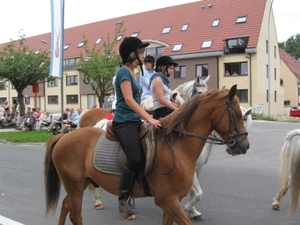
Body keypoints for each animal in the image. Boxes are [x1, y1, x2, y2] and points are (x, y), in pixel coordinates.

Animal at [44, 85, 250, 224]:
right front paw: (191, 210)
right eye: (238, 115)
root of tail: (63, 137)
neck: (176, 146)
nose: (244, 146)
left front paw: (194, 210)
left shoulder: (172, 201)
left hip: (79, 185)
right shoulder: (169, 201)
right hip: (74, 186)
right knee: (75, 215)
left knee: (65, 207)